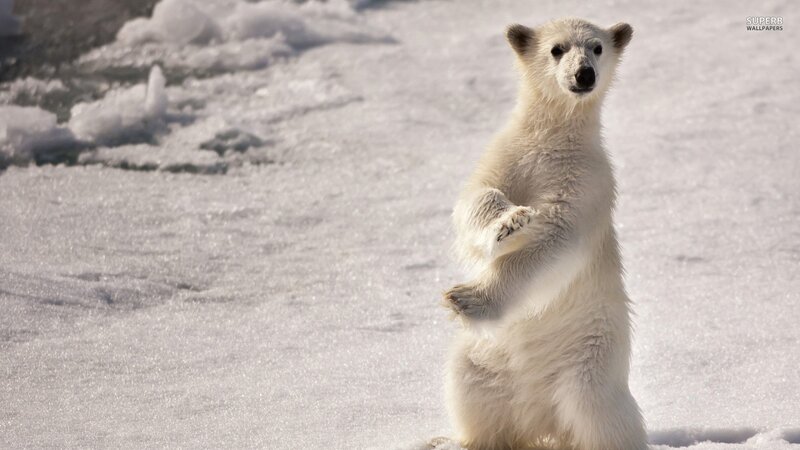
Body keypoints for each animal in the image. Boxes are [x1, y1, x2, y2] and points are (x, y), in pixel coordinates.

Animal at [439, 18, 647, 450]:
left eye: (597, 47)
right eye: (556, 49)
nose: (583, 74)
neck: (552, 139)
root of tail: (541, 420)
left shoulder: (586, 181)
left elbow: (556, 237)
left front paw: (467, 298)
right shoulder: (509, 154)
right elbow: (477, 197)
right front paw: (509, 223)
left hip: (590, 357)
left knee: (599, 414)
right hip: (486, 358)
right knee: (470, 387)